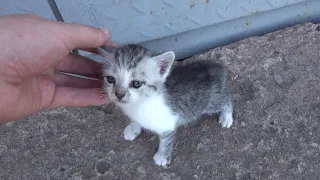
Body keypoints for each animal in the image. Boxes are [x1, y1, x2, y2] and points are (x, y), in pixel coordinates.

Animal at [98, 44, 232, 167]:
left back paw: (227, 117)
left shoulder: (167, 122)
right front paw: (133, 129)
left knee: (227, 99)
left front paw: (162, 156)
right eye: (110, 79)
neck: (139, 104)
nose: (119, 94)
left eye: (136, 83)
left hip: (209, 103)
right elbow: (135, 120)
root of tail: (216, 68)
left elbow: (166, 140)